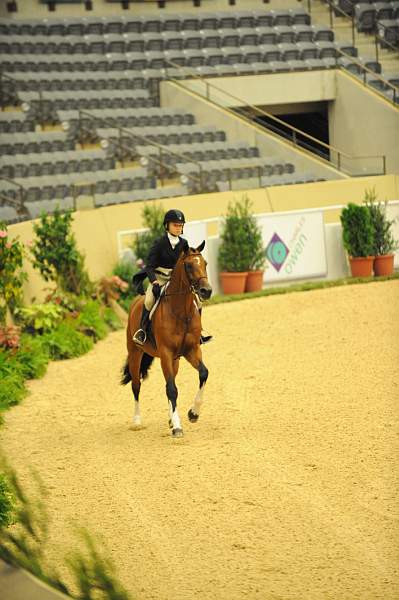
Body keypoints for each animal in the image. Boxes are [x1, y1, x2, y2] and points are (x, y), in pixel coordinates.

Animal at [121, 241, 212, 438]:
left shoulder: (191, 350)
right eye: (189, 265)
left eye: (205, 263)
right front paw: (178, 427)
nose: (206, 291)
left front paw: (193, 414)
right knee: (136, 385)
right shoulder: (166, 353)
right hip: (135, 354)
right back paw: (137, 421)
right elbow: (172, 389)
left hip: (175, 360)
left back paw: (170, 419)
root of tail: (135, 302)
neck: (181, 311)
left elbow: (203, 373)